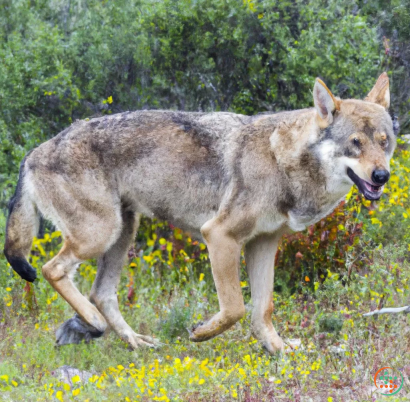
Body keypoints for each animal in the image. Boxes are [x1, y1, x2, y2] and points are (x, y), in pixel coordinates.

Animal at [2, 74, 394, 354]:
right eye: (355, 144)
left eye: (385, 142)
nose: (382, 176)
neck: (281, 160)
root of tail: (33, 153)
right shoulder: (219, 236)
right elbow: (235, 308)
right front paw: (202, 333)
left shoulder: (264, 243)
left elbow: (262, 308)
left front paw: (278, 349)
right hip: (99, 234)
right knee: (53, 270)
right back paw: (92, 323)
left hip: (122, 234)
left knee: (102, 293)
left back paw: (134, 341)